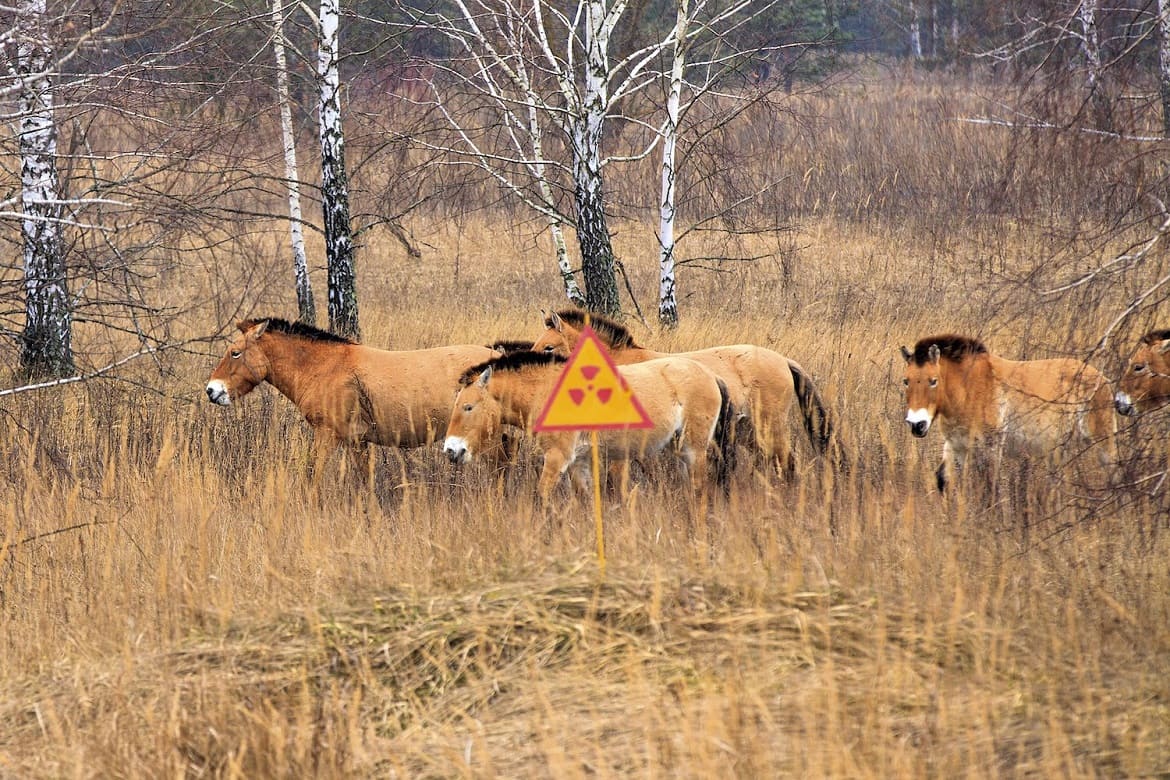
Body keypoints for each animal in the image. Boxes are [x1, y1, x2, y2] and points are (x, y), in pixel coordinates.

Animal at [439, 353, 730, 502]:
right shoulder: (578, 462)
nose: (451, 450)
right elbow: (584, 498)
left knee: (700, 486)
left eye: (468, 407)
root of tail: (710, 374)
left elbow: (541, 495)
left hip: (694, 448)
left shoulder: (557, 458)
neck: (547, 391)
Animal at [898, 336, 1118, 493]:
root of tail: (1102, 378)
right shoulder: (956, 444)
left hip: (1103, 444)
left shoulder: (991, 446)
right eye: (906, 381)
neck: (968, 388)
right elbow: (943, 480)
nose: (916, 424)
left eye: (933, 381)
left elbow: (991, 487)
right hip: (1059, 449)